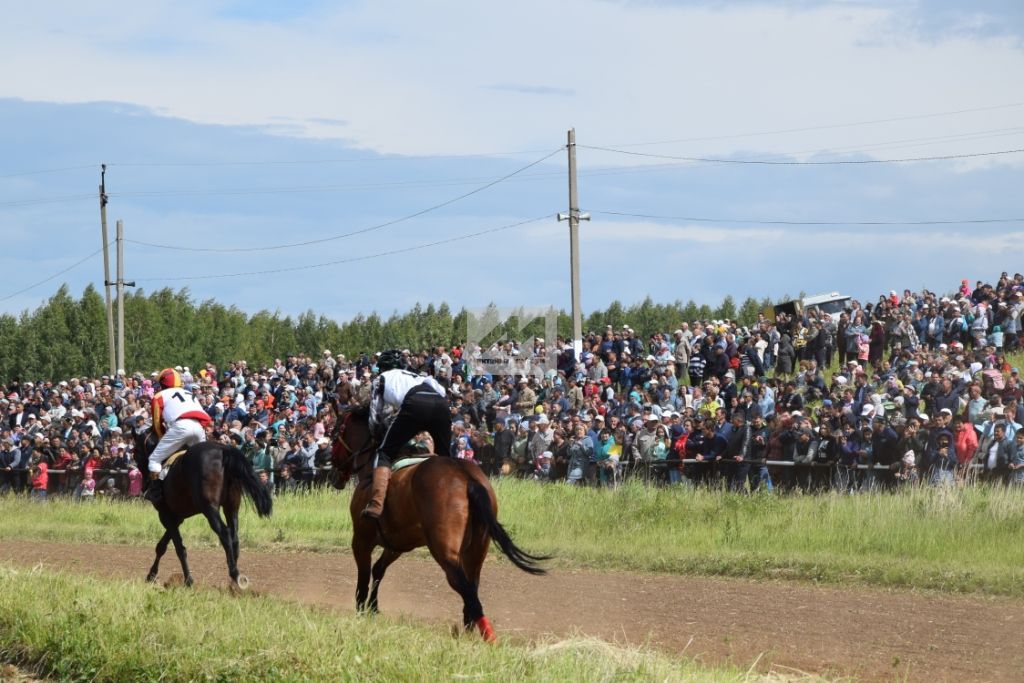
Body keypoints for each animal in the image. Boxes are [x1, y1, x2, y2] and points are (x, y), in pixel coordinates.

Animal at [131, 423, 272, 589]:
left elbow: (179, 548)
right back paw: (233, 582)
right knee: (234, 537)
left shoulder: (165, 514)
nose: (144, 485)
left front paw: (188, 580)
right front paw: (151, 575)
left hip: (209, 508)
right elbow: (162, 546)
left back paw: (235, 574)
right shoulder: (177, 517)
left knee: (225, 533)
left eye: (135, 452)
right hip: (231, 507)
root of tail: (224, 450)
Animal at [331, 405, 548, 643]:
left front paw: (362, 612)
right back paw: (470, 630)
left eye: (334, 433)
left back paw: (487, 636)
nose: (333, 469)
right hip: (477, 549)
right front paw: (373, 607)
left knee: (464, 587)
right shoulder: (397, 543)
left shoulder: (361, 539)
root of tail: (467, 478)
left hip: (444, 550)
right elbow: (378, 569)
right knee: (472, 585)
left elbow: (363, 577)